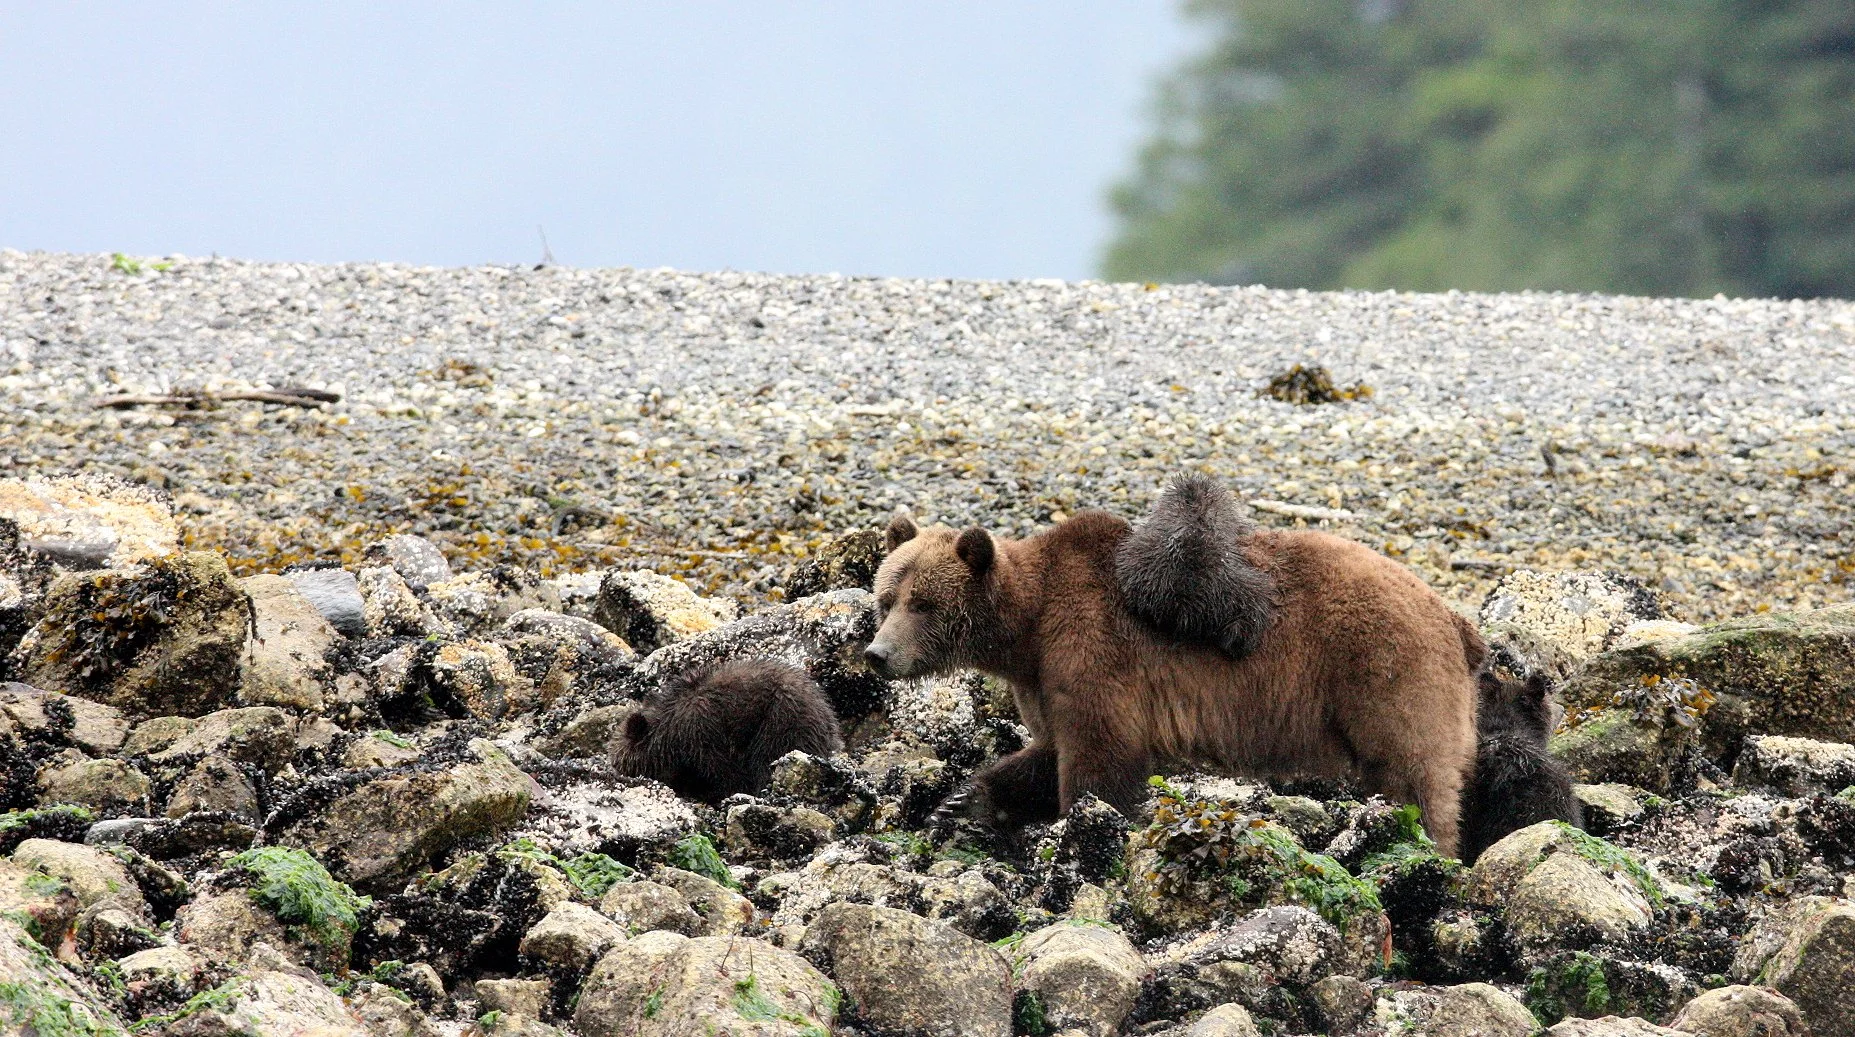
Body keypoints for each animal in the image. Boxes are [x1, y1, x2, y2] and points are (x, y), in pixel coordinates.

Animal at [611, 658, 843, 803]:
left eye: (622, 764)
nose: (616, 770)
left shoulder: (701, 732)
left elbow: (725, 771)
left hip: (782, 718)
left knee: (768, 756)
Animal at [865, 507, 1485, 857]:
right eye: (886, 598)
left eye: (924, 603)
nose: (877, 655)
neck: (1030, 624)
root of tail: (1453, 617)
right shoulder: (1043, 677)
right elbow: (1048, 748)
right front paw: (958, 803)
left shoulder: (1093, 652)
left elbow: (1100, 757)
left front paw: (1079, 829)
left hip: (1384, 671)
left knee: (1414, 773)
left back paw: (1430, 848)